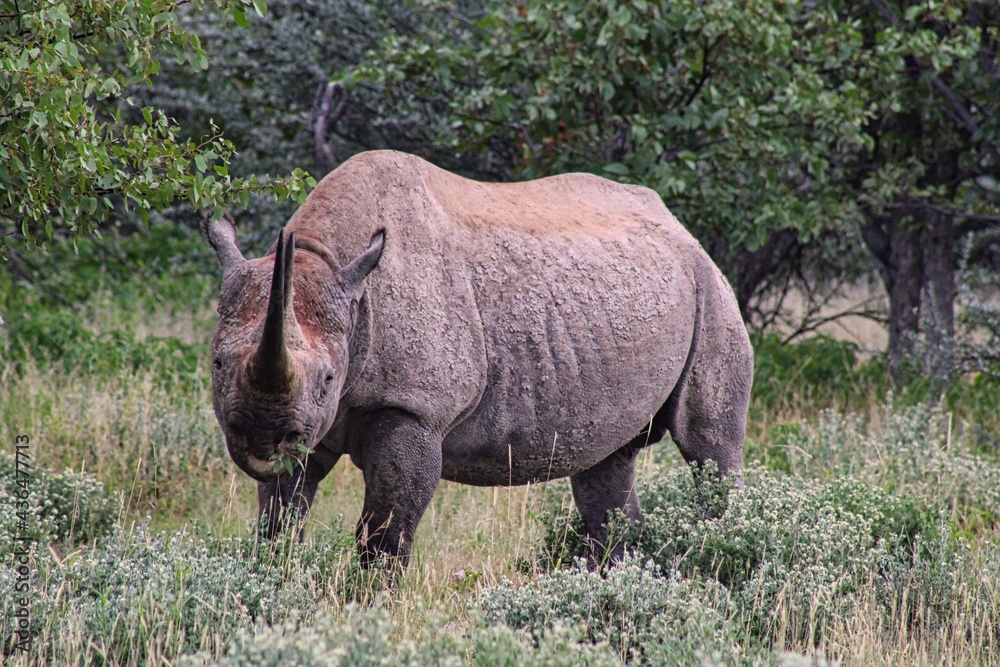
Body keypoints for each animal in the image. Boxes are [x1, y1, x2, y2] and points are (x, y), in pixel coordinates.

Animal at [205, 150, 753, 568]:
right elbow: (279, 518)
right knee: (607, 465)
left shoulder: (415, 408)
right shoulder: (309, 423)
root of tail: (679, 227)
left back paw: (727, 550)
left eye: (327, 378)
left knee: (709, 447)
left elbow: (385, 533)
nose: (262, 435)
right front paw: (276, 579)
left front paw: (371, 604)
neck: (326, 261)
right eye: (217, 365)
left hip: (711, 289)